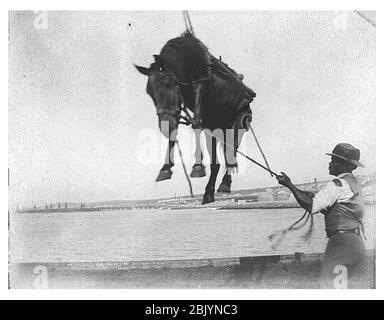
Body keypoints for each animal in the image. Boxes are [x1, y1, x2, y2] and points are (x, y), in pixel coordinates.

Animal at [134, 31, 255, 204]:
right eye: (149, 91)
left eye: (168, 83)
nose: (163, 126)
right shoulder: (179, 110)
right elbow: (174, 130)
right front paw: (165, 169)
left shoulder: (201, 82)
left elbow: (196, 123)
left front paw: (197, 167)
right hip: (214, 128)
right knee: (218, 158)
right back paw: (210, 192)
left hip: (237, 124)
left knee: (231, 153)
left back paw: (224, 184)